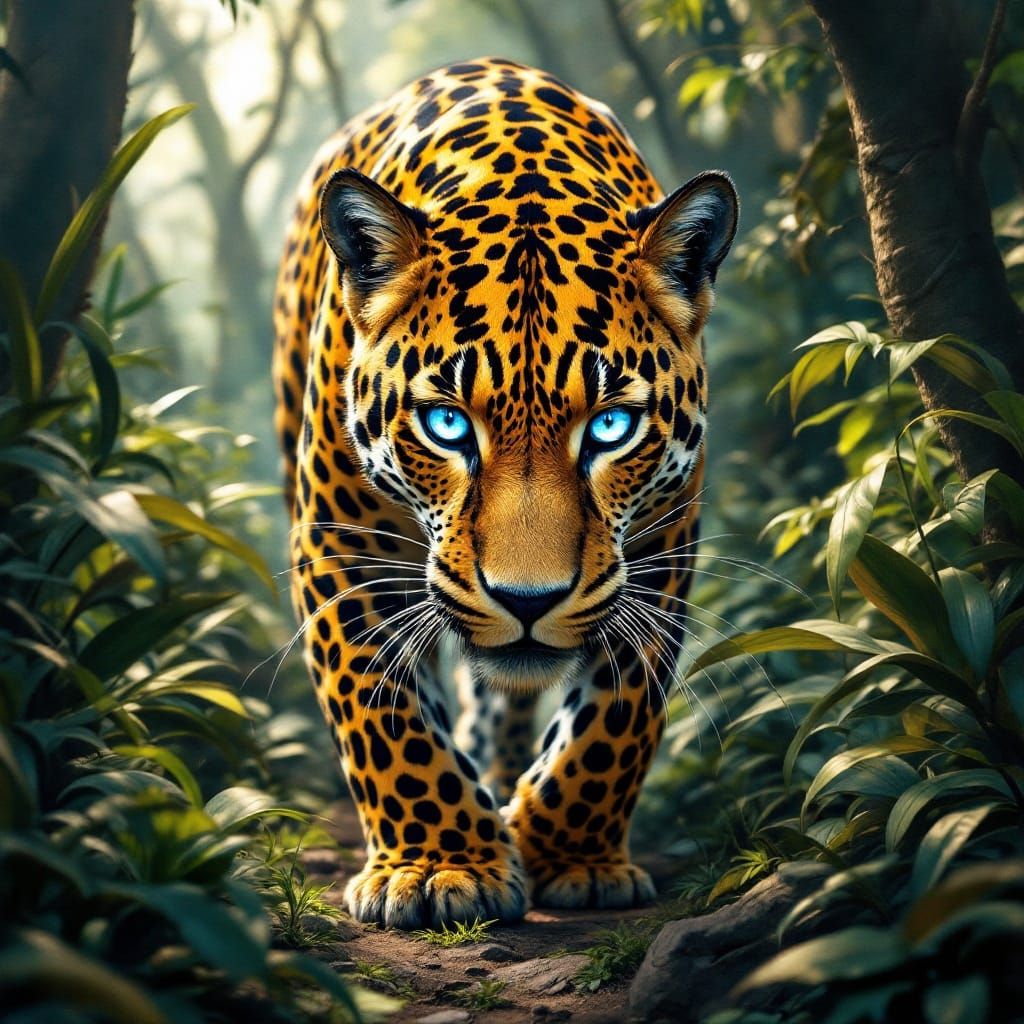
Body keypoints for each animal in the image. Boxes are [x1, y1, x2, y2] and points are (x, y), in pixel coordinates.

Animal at [272, 56, 737, 930]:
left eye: (612, 425)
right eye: (448, 424)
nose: (529, 600)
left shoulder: (661, 540)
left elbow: (618, 717)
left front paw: (572, 855)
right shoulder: (338, 541)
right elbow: (382, 712)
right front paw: (437, 866)